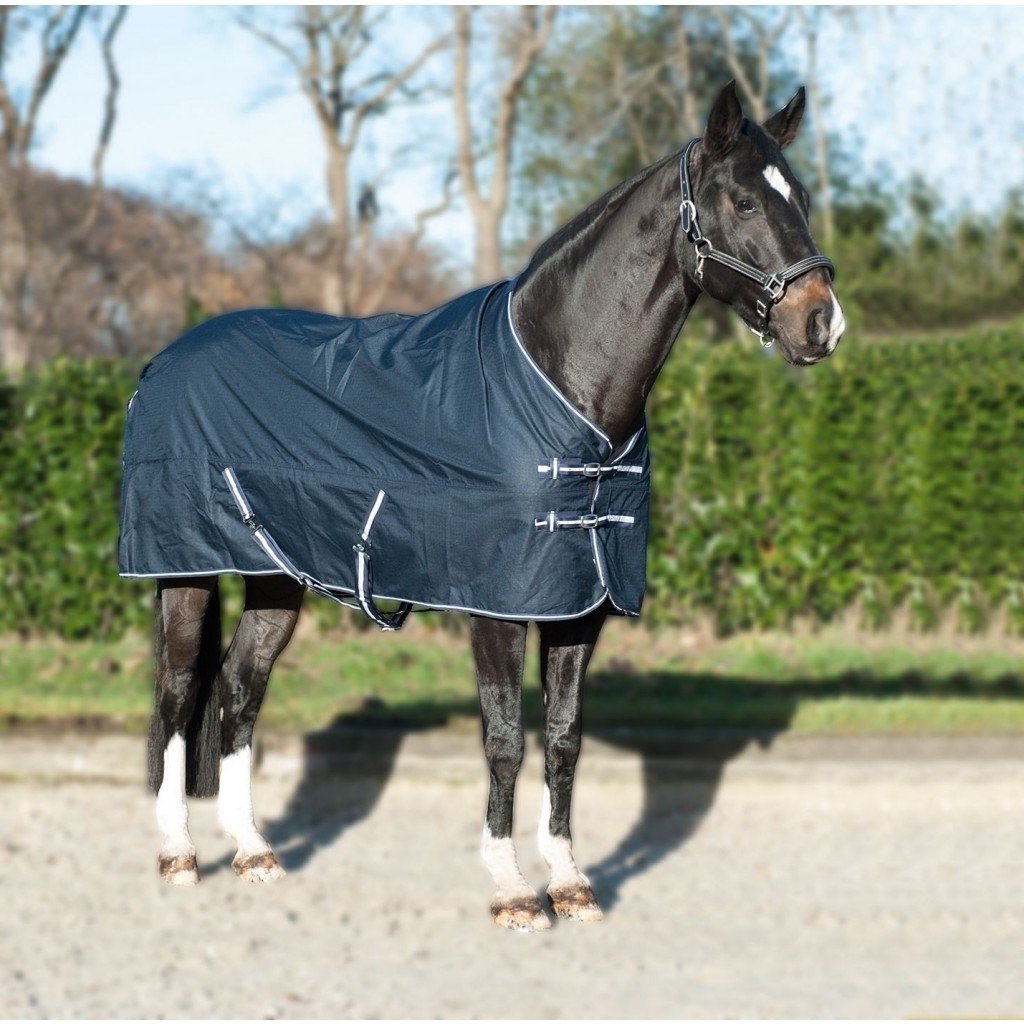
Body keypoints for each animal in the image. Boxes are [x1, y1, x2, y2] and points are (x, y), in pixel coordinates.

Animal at [138, 81, 843, 932]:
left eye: (801, 198)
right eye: (741, 200)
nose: (822, 322)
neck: (561, 385)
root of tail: (165, 358)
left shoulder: (579, 604)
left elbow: (564, 739)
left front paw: (570, 883)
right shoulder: (499, 608)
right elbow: (505, 738)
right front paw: (511, 890)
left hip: (275, 577)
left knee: (241, 690)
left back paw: (253, 852)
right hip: (187, 572)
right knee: (179, 694)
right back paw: (178, 854)